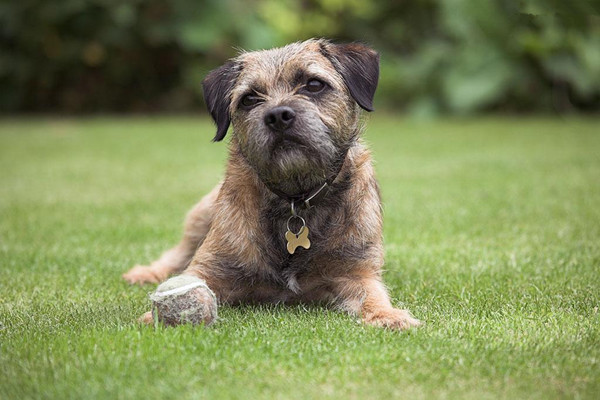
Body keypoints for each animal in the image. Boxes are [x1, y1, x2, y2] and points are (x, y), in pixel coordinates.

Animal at [123, 39, 422, 330]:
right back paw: (146, 272)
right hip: (201, 215)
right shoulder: (210, 268)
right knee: (178, 253)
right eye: (250, 99)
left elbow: (372, 294)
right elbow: (191, 279)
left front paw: (387, 315)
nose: (278, 115)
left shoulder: (356, 271)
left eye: (314, 85)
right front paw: (155, 316)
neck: (295, 199)